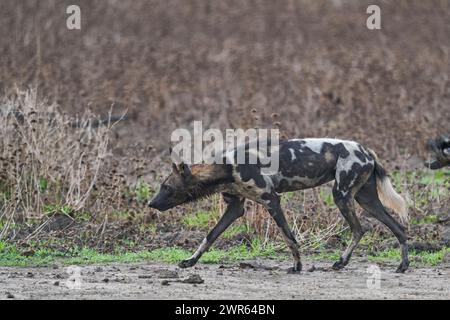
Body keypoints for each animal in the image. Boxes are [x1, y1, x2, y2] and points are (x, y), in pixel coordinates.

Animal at [149, 138, 410, 272]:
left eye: (167, 187)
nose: (151, 203)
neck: (226, 168)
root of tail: (367, 150)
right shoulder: (235, 209)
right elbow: (210, 236)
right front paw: (190, 261)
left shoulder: (272, 201)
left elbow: (289, 237)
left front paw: (297, 266)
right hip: (364, 200)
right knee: (398, 228)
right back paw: (401, 265)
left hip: (342, 196)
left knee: (359, 228)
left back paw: (345, 261)